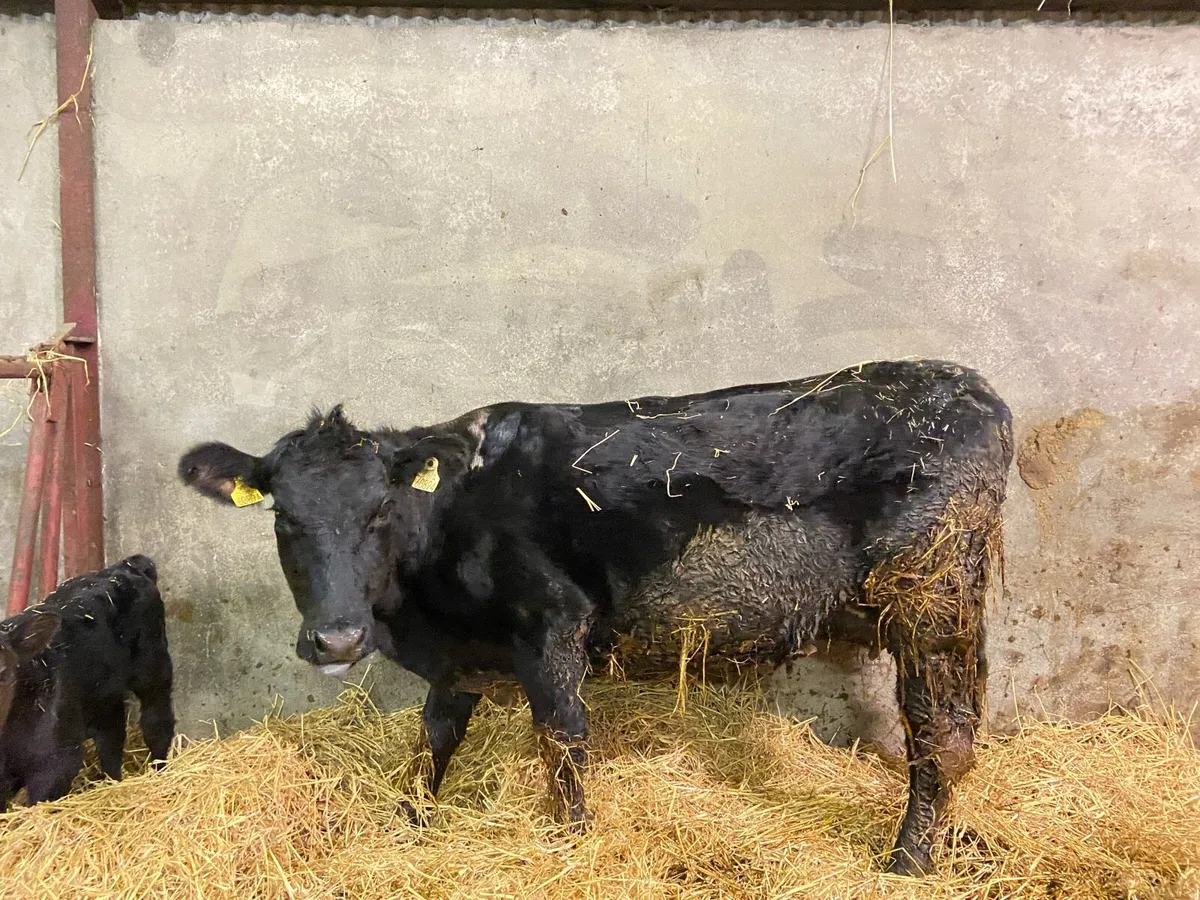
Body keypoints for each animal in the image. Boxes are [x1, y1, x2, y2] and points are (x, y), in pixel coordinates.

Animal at [0, 555, 176, 809]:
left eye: (3, 670)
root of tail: (127, 565)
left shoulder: (58, 761)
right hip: (103, 692)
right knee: (112, 732)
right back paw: (114, 780)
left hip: (153, 664)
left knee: (157, 719)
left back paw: (160, 770)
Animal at [179, 359, 1011, 875]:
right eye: (284, 518)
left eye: (379, 511)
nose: (336, 638)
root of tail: (969, 387)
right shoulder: (465, 648)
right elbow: (435, 736)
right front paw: (409, 820)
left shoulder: (551, 622)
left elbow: (563, 741)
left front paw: (572, 840)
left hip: (931, 598)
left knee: (940, 737)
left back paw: (907, 861)